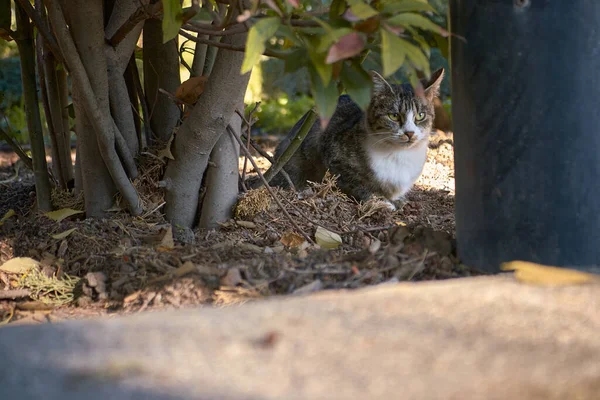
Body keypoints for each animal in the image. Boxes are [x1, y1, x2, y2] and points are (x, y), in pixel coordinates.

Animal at [270, 68, 442, 209]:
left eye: (420, 116)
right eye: (394, 116)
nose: (409, 133)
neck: (398, 154)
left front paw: (398, 199)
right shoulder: (333, 156)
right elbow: (357, 184)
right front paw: (380, 201)